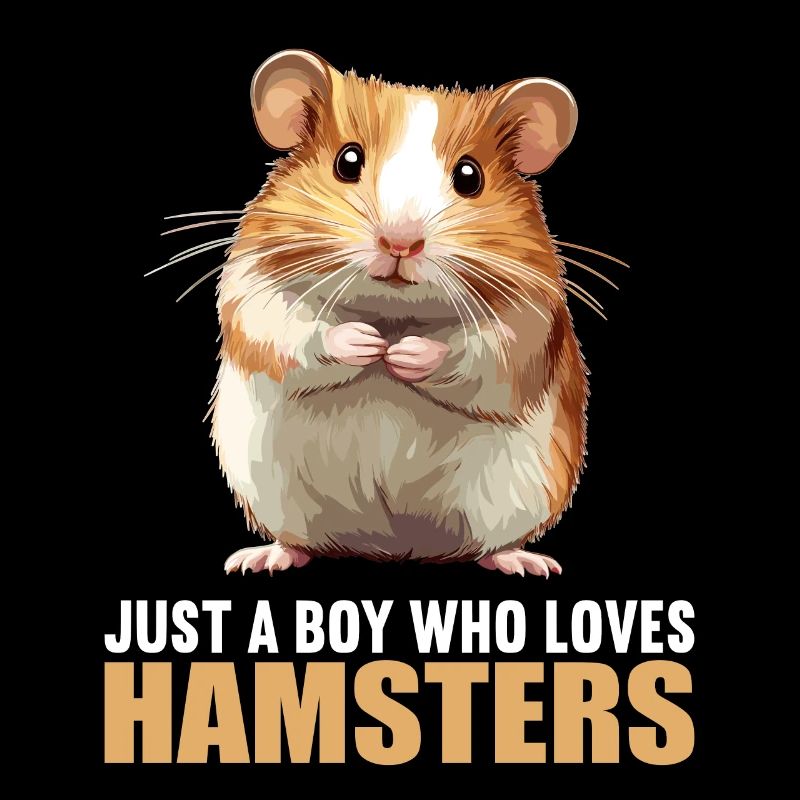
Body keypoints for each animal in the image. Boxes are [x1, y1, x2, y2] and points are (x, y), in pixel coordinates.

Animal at [215, 49, 588, 577]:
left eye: (470, 176)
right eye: (347, 161)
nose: (400, 242)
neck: (390, 312)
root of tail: (394, 549)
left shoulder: (534, 317)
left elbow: (483, 354)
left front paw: (404, 354)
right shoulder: (250, 288)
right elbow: (287, 330)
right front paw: (367, 344)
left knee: (493, 545)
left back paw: (526, 563)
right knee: (297, 540)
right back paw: (260, 558)